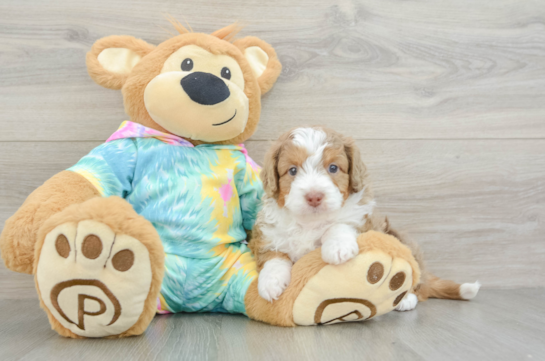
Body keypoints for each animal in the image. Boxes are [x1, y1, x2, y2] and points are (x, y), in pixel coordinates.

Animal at [249, 125, 478, 308]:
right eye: (292, 171)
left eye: (333, 168)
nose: (314, 196)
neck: (310, 222)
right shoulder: (268, 234)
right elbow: (273, 257)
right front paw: (270, 282)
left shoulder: (363, 220)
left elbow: (339, 224)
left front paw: (337, 247)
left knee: (416, 283)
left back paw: (405, 299)